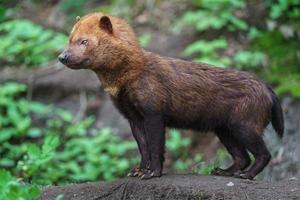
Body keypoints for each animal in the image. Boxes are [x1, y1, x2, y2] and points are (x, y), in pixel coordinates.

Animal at [58, 13, 284, 180]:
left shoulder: (153, 111)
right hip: (224, 128)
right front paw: (138, 170)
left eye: (84, 41)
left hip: (245, 124)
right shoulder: (131, 116)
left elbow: (156, 145)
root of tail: (268, 89)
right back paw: (223, 171)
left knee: (264, 154)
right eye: (69, 39)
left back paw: (246, 175)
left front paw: (152, 173)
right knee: (242, 157)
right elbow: (143, 147)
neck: (126, 82)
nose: (62, 56)